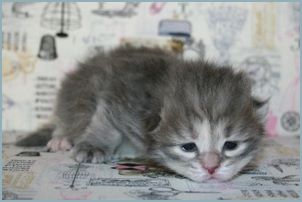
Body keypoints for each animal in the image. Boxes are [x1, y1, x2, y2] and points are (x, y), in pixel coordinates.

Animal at [16, 45, 266, 181]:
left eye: (231, 145)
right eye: (188, 147)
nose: (212, 168)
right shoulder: (119, 90)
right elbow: (106, 123)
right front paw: (93, 146)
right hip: (78, 92)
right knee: (68, 115)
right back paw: (61, 138)